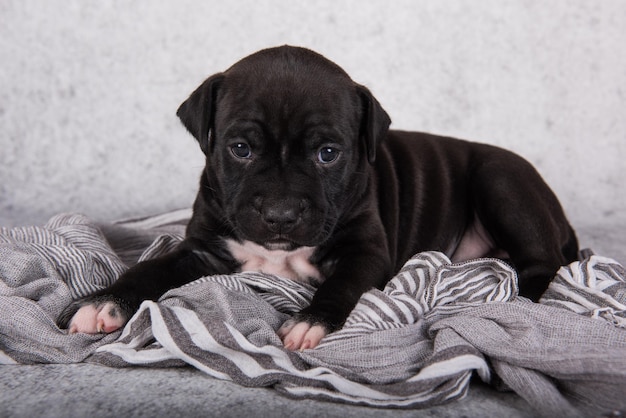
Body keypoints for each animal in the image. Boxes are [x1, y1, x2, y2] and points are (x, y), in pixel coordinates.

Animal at [58, 45, 576, 350]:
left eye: (329, 154)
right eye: (240, 148)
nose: (281, 215)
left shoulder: (365, 251)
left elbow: (343, 283)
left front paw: (312, 321)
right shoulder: (202, 250)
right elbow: (149, 269)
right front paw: (103, 303)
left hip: (501, 181)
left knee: (542, 262)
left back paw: (515, 299)